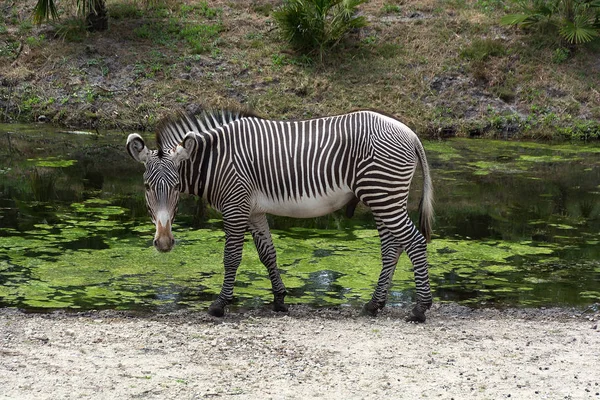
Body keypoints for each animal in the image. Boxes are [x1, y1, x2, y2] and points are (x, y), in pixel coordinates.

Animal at [126, 105, 434, 322]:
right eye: (147, 186)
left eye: (177, 186)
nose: (164, 242)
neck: (217, 161)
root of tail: (411, 133)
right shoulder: (253, 211)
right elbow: (268, 255)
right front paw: (280, 299)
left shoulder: (235, 207)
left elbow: (231, 258)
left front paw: (220, 304)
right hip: (381, 198)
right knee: (392, 248)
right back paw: (374, 304)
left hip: (383, 195)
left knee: (415, 243)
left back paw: (420, 308)